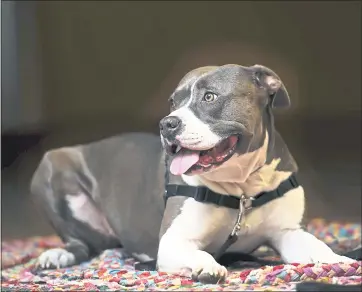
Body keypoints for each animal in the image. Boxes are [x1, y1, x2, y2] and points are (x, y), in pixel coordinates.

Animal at [31, 64, 354, 282]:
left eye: (210, 97)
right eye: (173, 102)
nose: (167, 124)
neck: (242, 188)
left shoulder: (287, 233)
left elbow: (317, 247)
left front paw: (339, 261)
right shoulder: (172, 242)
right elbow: (198, 252)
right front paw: (207, 264)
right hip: (51, 164)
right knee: (79, 243)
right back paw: (57, 254)